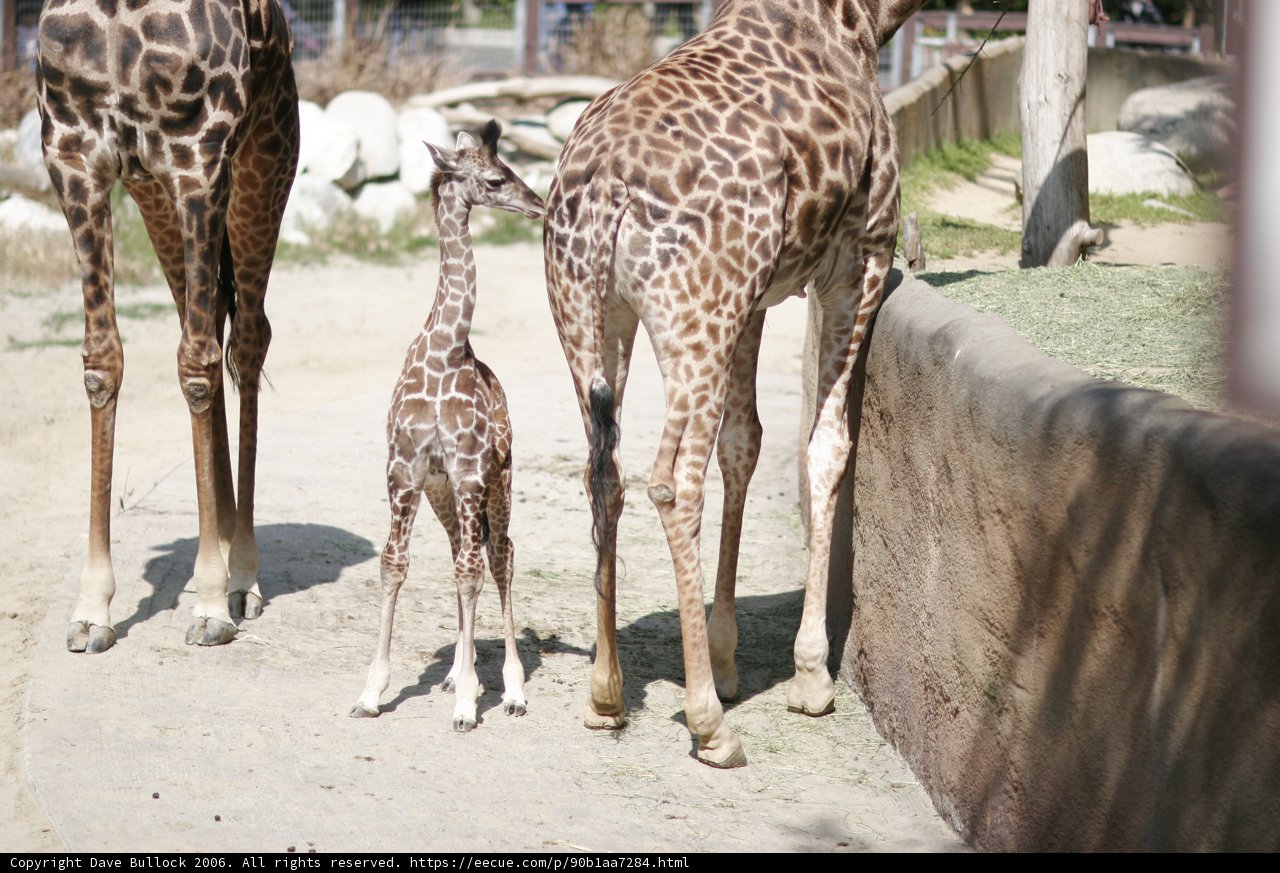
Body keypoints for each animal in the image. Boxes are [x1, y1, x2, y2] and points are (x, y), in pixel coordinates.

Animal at [35, 0, 299, 651]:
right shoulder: (76, 158)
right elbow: (102, 361)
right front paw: (92, 609)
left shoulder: (198, 161)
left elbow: (198, 368)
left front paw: (208, 603)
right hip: (152, 194)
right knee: (209, 319)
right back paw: (226, 547)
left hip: (263, 165)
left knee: (246, 338)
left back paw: (242, 577)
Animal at [350, 121, 544, 732]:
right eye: (496, 178)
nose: (539, 203)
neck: (444, 352)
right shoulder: (406, 472)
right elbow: (394, 565)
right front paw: (372, 693)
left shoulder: (470, 471)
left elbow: (472, 572)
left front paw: (469, 705)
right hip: (444, 494)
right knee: (468, 552)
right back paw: (461, 674)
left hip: (498, 482)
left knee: (499, 557)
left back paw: (508, 690)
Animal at [543, 0, 927, 767]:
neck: (866, 22)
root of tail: (603, 187)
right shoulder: (860, 257)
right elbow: (827, 445)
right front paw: (810, 676)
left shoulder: (754, 299)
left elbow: (744, 444)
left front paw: (724, 658)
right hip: (696, 317)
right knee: (672, 480)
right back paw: (710, 725)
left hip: (593, 316)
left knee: (604, 471)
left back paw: (606, 694)